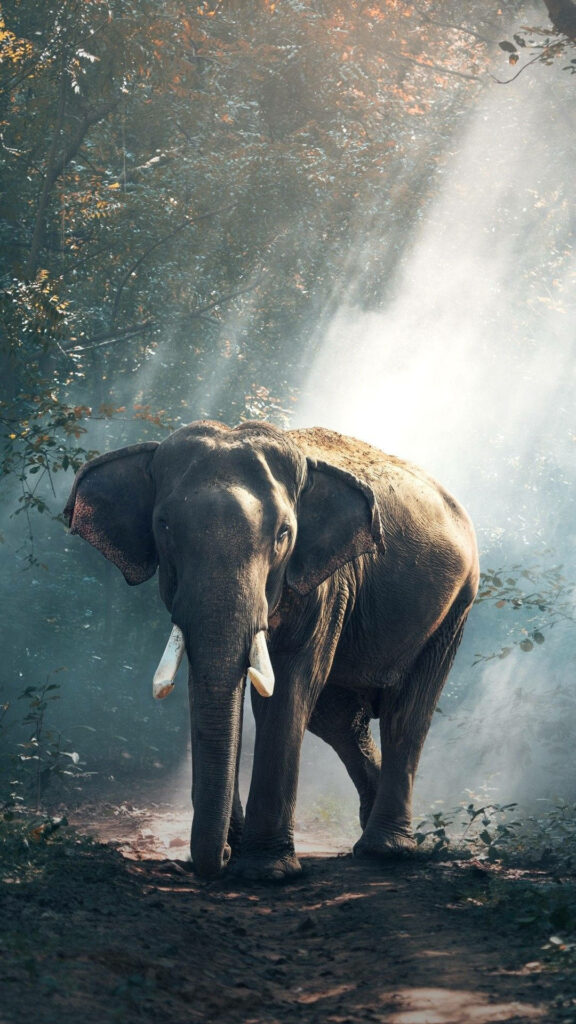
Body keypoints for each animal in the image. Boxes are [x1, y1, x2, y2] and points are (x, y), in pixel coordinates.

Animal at [64, 420, 479, 881]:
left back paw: (385, 850)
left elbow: (288, 688)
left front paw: (266, 871)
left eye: (283, 534)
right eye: (164, 526)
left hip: (456, 606)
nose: (222, 856)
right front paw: (239, 850)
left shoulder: (327, 583)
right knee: (339, 719)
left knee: (406, 713)